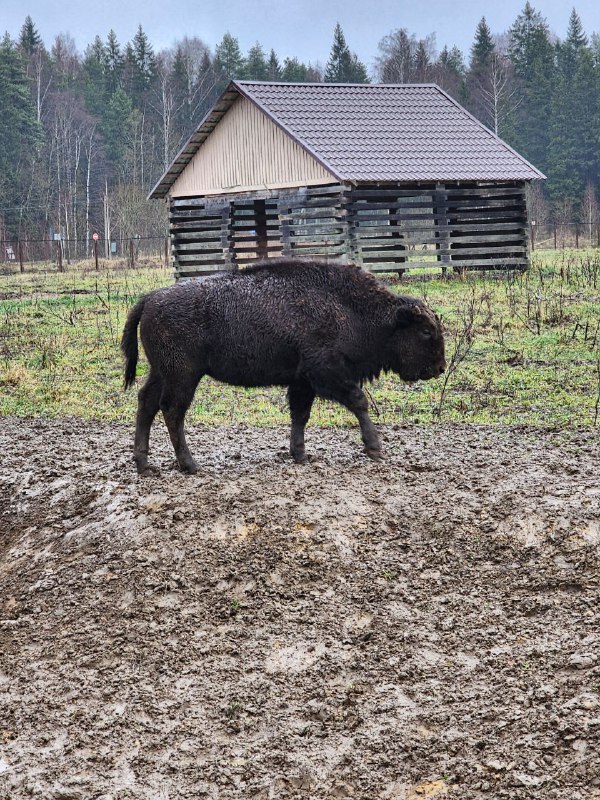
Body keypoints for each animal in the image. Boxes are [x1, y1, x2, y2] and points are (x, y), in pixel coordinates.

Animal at [120, 260, 446, 476]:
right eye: (425, 331)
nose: (440, 367)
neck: (352, 309)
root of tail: (150, 299)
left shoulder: (302, 381)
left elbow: (300, 415)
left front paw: (299, 454)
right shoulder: (327, 374)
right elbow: (358, 401)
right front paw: (375, 448)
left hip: (162, 373)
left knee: (146, 404)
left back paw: (145, 465)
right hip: (183, 376)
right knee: (172, 411)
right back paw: (190, 465)